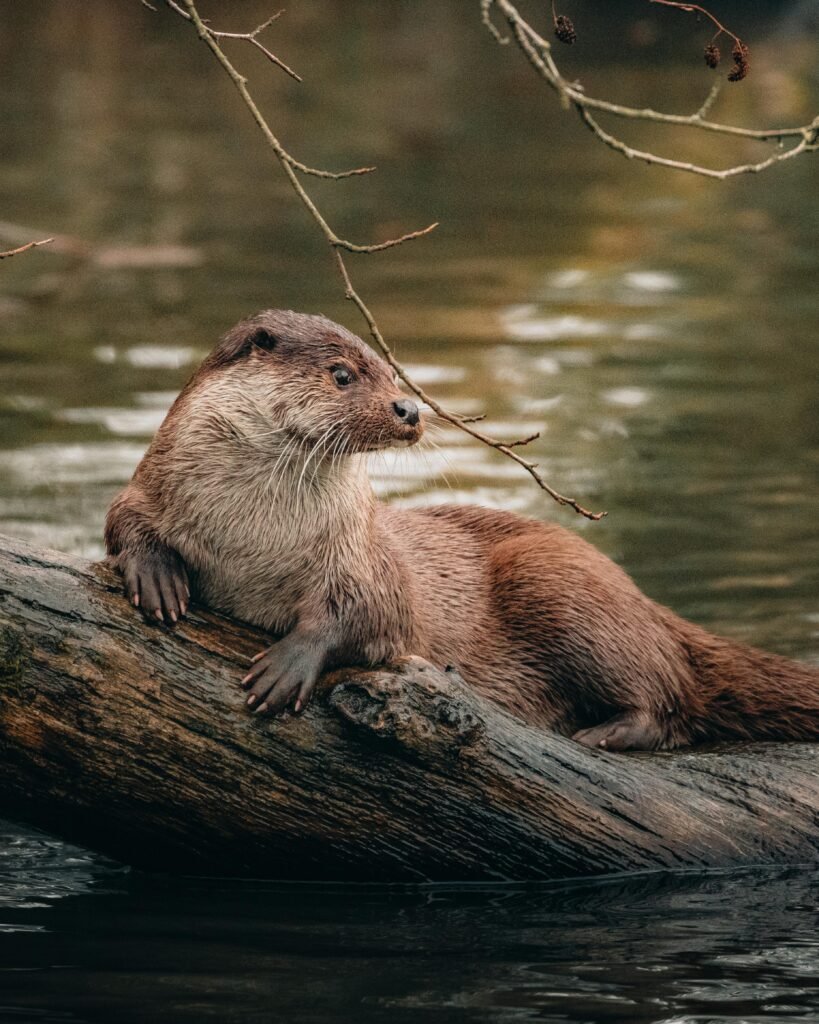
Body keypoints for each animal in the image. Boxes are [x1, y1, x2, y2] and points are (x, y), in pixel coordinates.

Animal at [103, 307, 818, 749]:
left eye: (391, 370)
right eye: (344, 374)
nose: (409, 409)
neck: (253, 537)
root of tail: (644, 602)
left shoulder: (364, 557)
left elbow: (370, 613)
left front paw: (288, 662)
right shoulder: (151, 486)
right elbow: (121, 518)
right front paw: (157, 575)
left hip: (561, 585)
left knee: (673, 699)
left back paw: (609, 732)